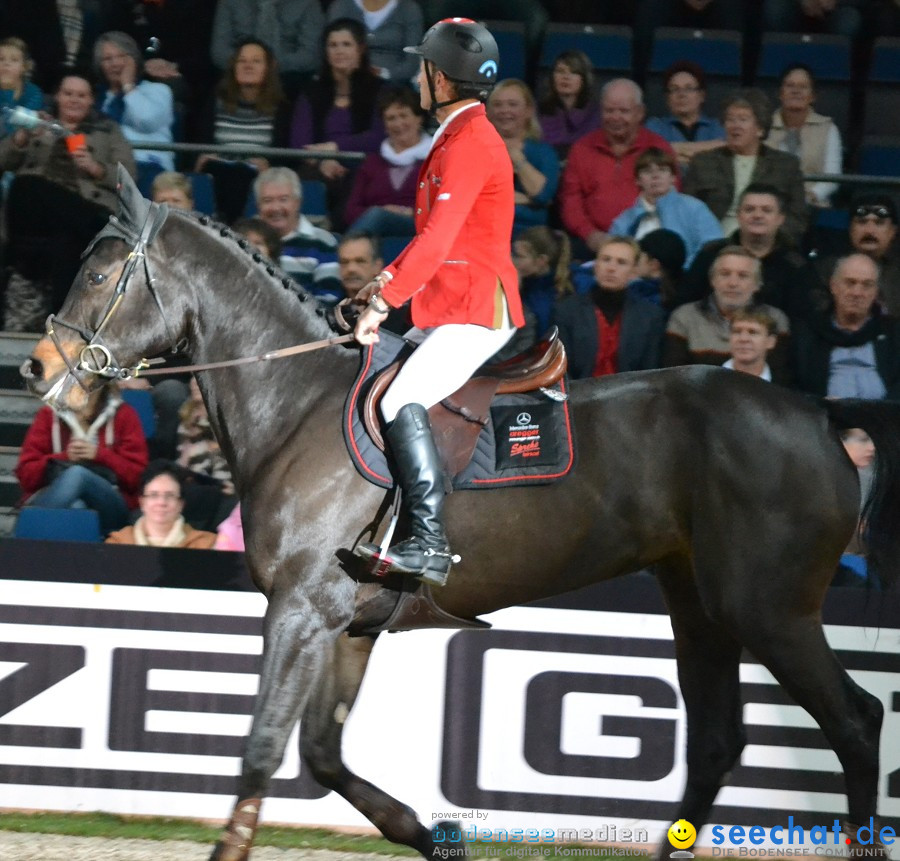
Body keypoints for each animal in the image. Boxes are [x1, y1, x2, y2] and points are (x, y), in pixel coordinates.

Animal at [21, 173, 900, 860]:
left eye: (99, 276)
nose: (36, 366)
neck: (296, 405)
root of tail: (818, 414)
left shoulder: (301, 610)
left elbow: (265, 747)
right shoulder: (348, 623)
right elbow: (324, 755)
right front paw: (435, 832)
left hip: (770, 610)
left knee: (857, 722)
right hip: (700, 605)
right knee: (719, 742)